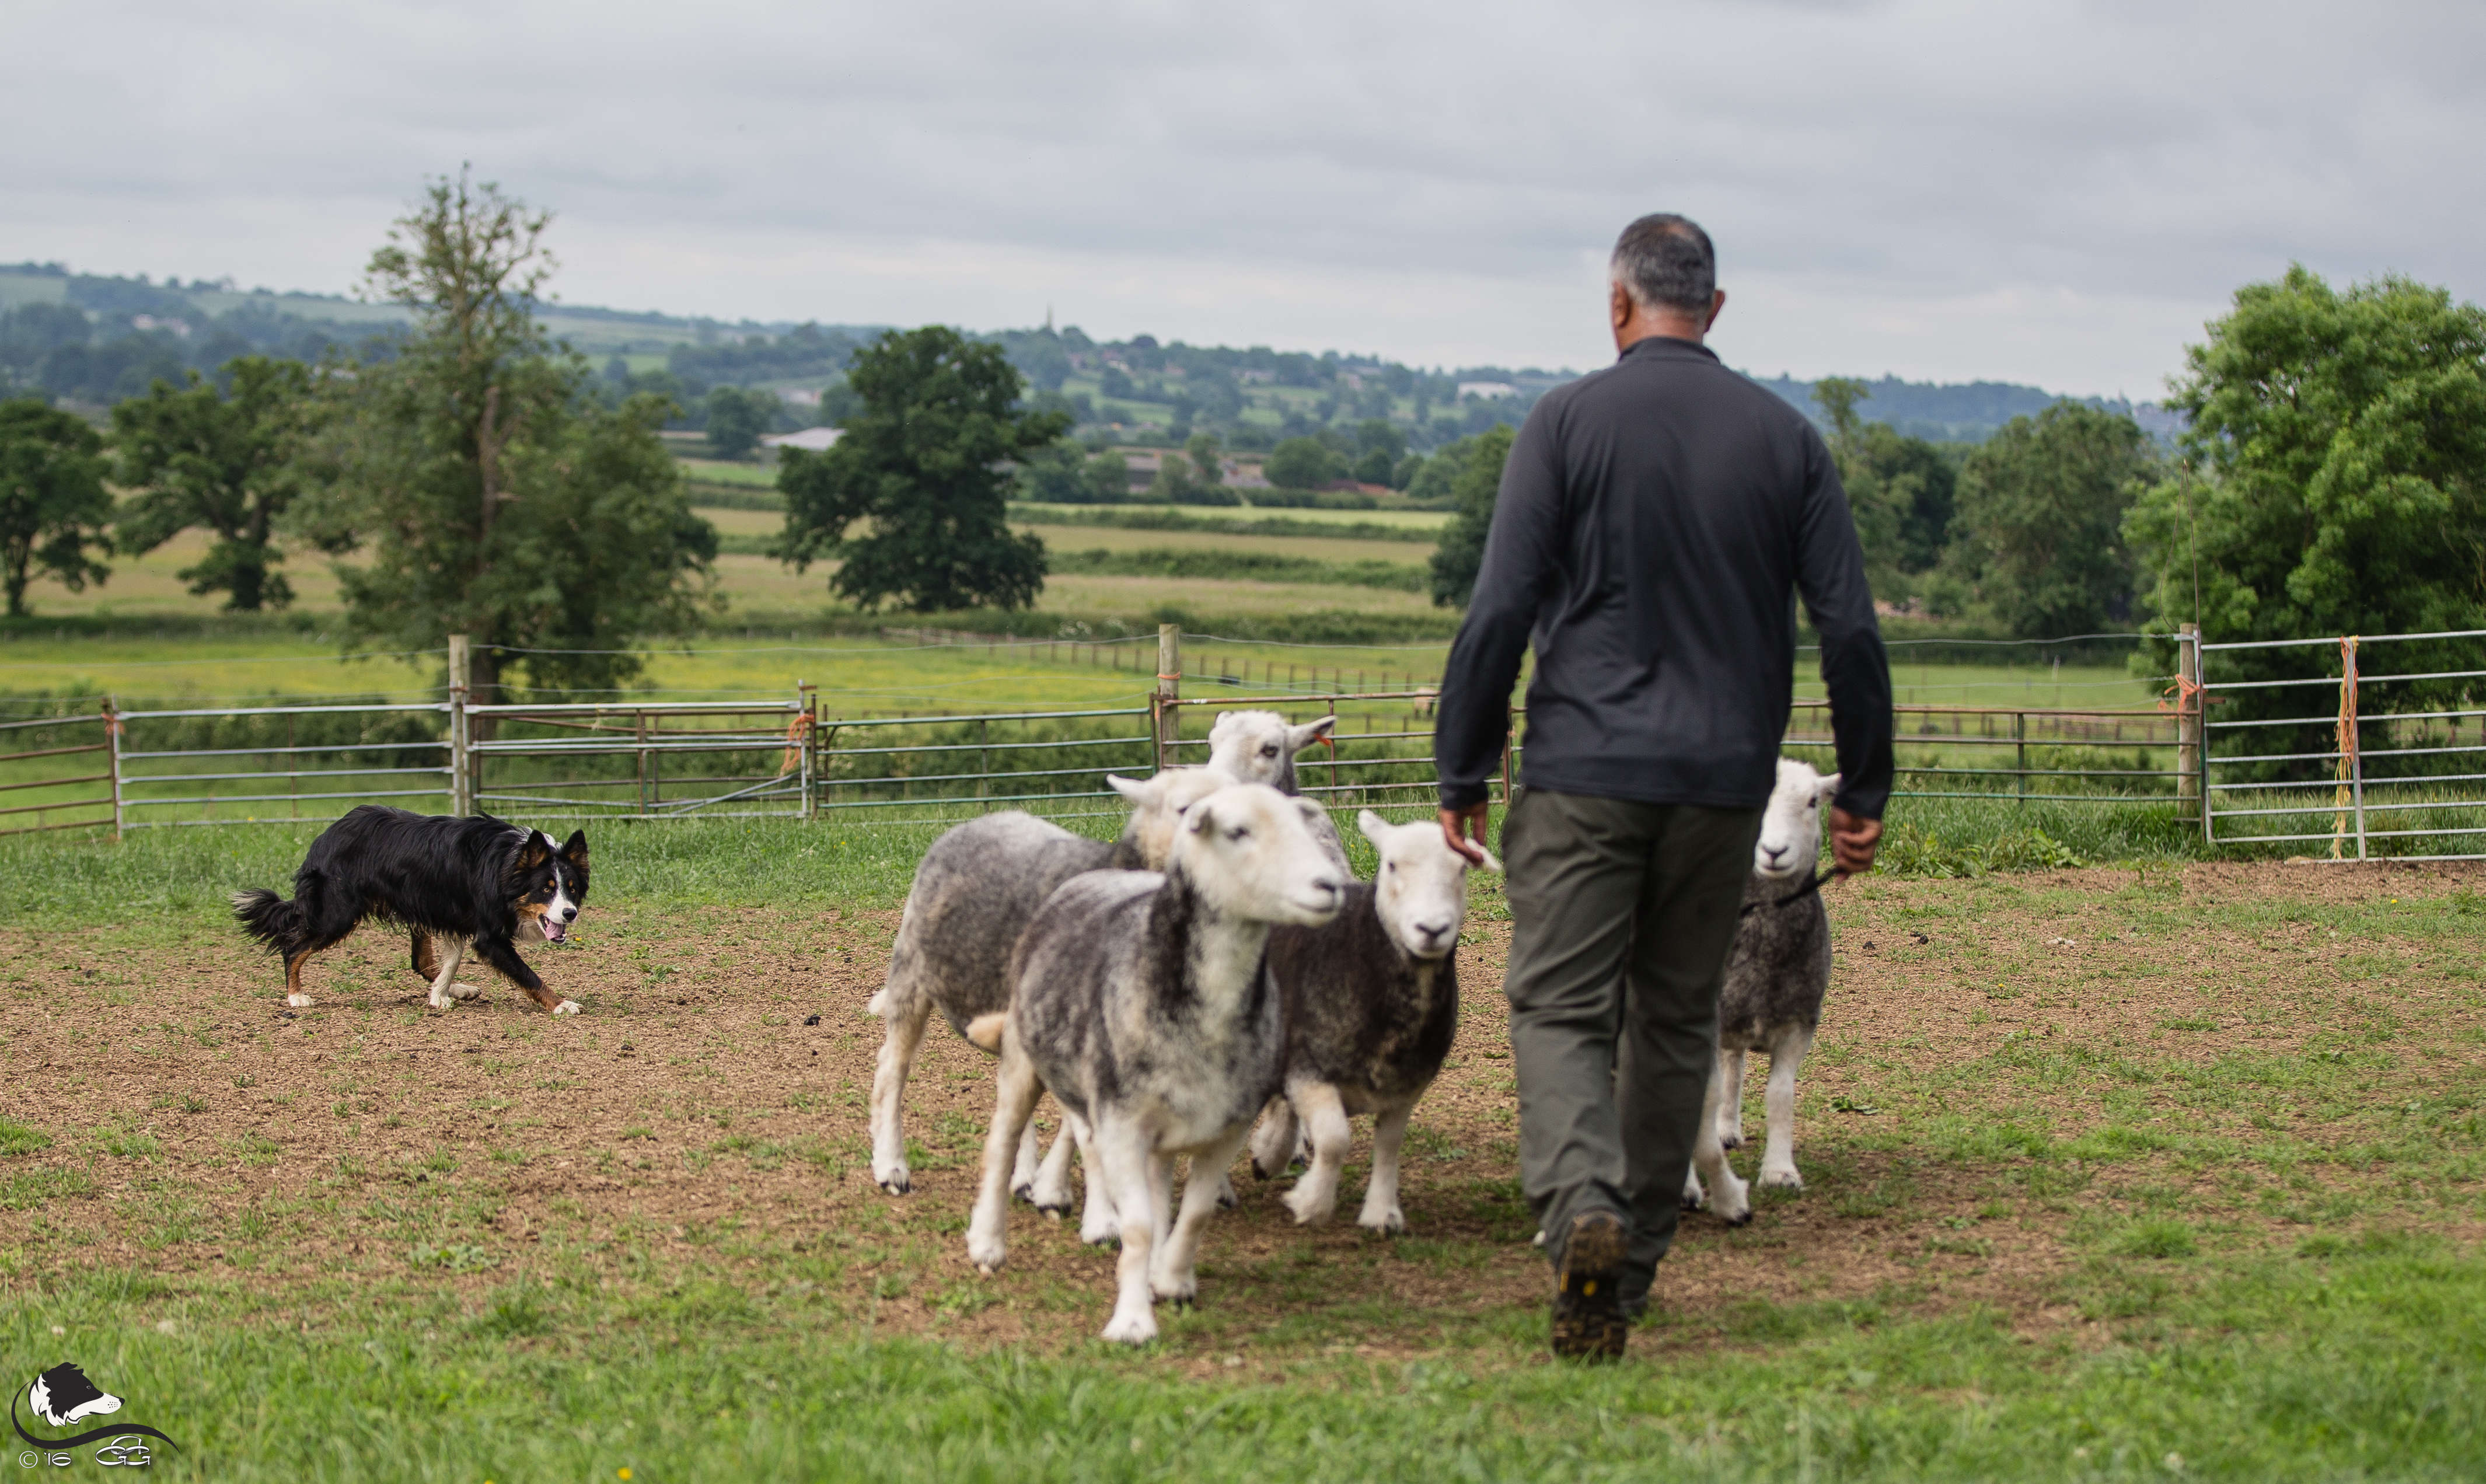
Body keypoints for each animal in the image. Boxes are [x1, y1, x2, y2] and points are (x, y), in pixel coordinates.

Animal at [865, 765, 1232, 1203]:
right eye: (1183, 809)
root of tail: (976, 820)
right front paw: (1059, 1191)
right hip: (912, 972)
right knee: (893, 1066)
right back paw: (892, 1165)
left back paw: (1023, 1174)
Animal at [964, 785, 1352, 1342]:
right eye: (1237, 831)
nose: (1329, 886)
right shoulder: (1123, 1125)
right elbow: (1139, 1225)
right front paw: (1131, 1323)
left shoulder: (1226, 1129)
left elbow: (1193, 1214)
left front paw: (1171, 1281)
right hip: (1023, 1059)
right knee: (1001, 1146)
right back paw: (988, 1243)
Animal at [1253, 810, 1502, 1228]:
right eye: (1392, 865)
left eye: (1462, 870)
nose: (1432, 929)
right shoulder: (1309, 1067)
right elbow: (1335, 1139)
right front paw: (1312, 1202)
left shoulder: (1407, 1086)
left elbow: (1388, 1146)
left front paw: (1381, 1213)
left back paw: (1269, 1154)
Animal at [1680, 755, 1839, 1223]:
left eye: (1813, 801)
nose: (1774, 851)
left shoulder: (1798, 1025)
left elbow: (1779, 1095)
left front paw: (1781, 1171)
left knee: (1733, 1066)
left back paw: (1728, 1128)